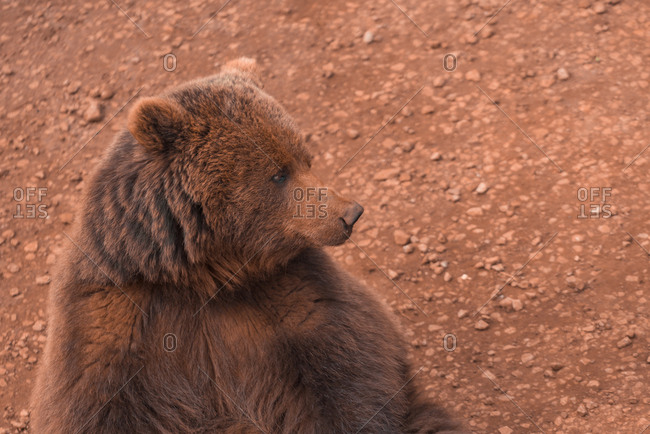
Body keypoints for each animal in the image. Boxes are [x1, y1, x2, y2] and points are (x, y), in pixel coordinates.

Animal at [31, 58, 464, 433]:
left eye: (306, 157)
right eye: (278, 173)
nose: (350, 213)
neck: (208, 277)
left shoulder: (294, 297)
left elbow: (349, 374)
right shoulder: (114, 324)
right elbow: (101, 407)